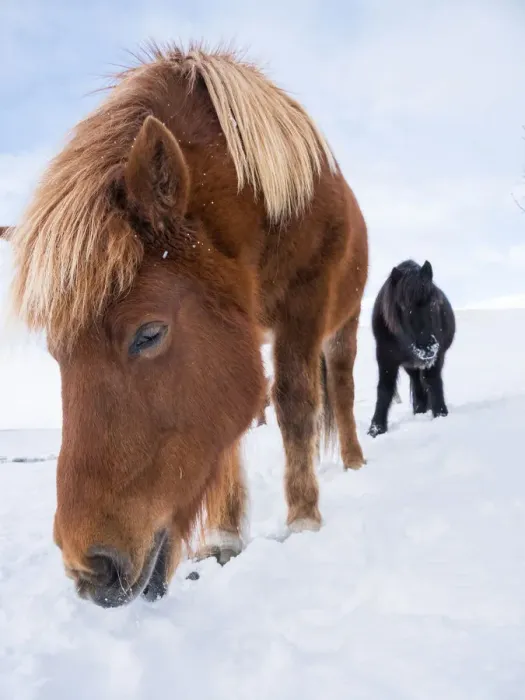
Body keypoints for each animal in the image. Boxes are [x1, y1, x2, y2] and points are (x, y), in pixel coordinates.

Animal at [9, 44, 368, 608]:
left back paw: (353, 462)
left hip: (342, 325)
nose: (89, 570)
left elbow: (295, 404)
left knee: (343, 391)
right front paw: (224, 536)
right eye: (56, 356)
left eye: (149, 334)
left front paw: (304, 520)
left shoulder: (304, 305)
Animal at [368, 260, 455, 437]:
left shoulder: (437, 357)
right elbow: (384, 390)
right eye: (403, 306)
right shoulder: (385, 359)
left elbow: (434, 382)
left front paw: (441, 414)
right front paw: (376, 428)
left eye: (434, 303)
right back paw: (419, 410)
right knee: (417, 384)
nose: (428, 347)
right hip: (411, 366)